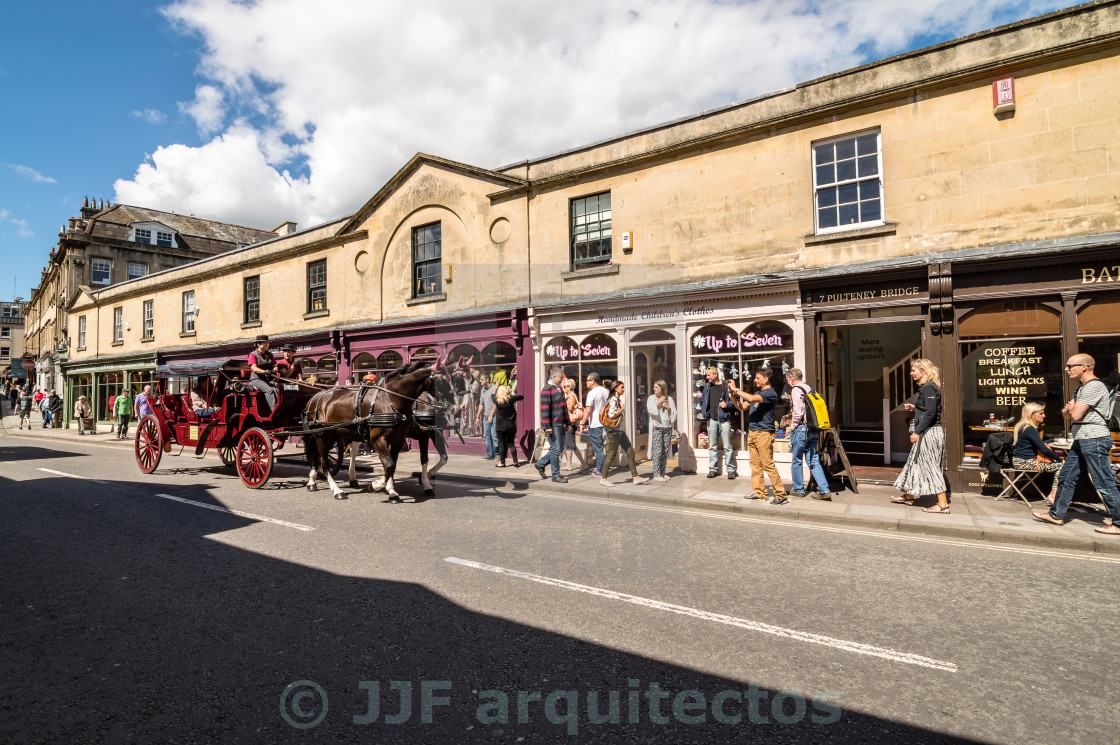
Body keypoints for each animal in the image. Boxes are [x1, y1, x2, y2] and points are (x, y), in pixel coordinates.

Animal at [302, 358, 454, 499]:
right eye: (443, 380)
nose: (454, 405)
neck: (390, 399)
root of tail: (316, 397)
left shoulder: (403, 438)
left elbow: (396, 464)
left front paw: (393, 490)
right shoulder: (380, 439)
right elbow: (391, 465)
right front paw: (376, 485)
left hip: (334, 433)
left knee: (328, 454)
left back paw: (317, 480)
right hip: (322, 433)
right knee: (324, 460)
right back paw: (336, 489)